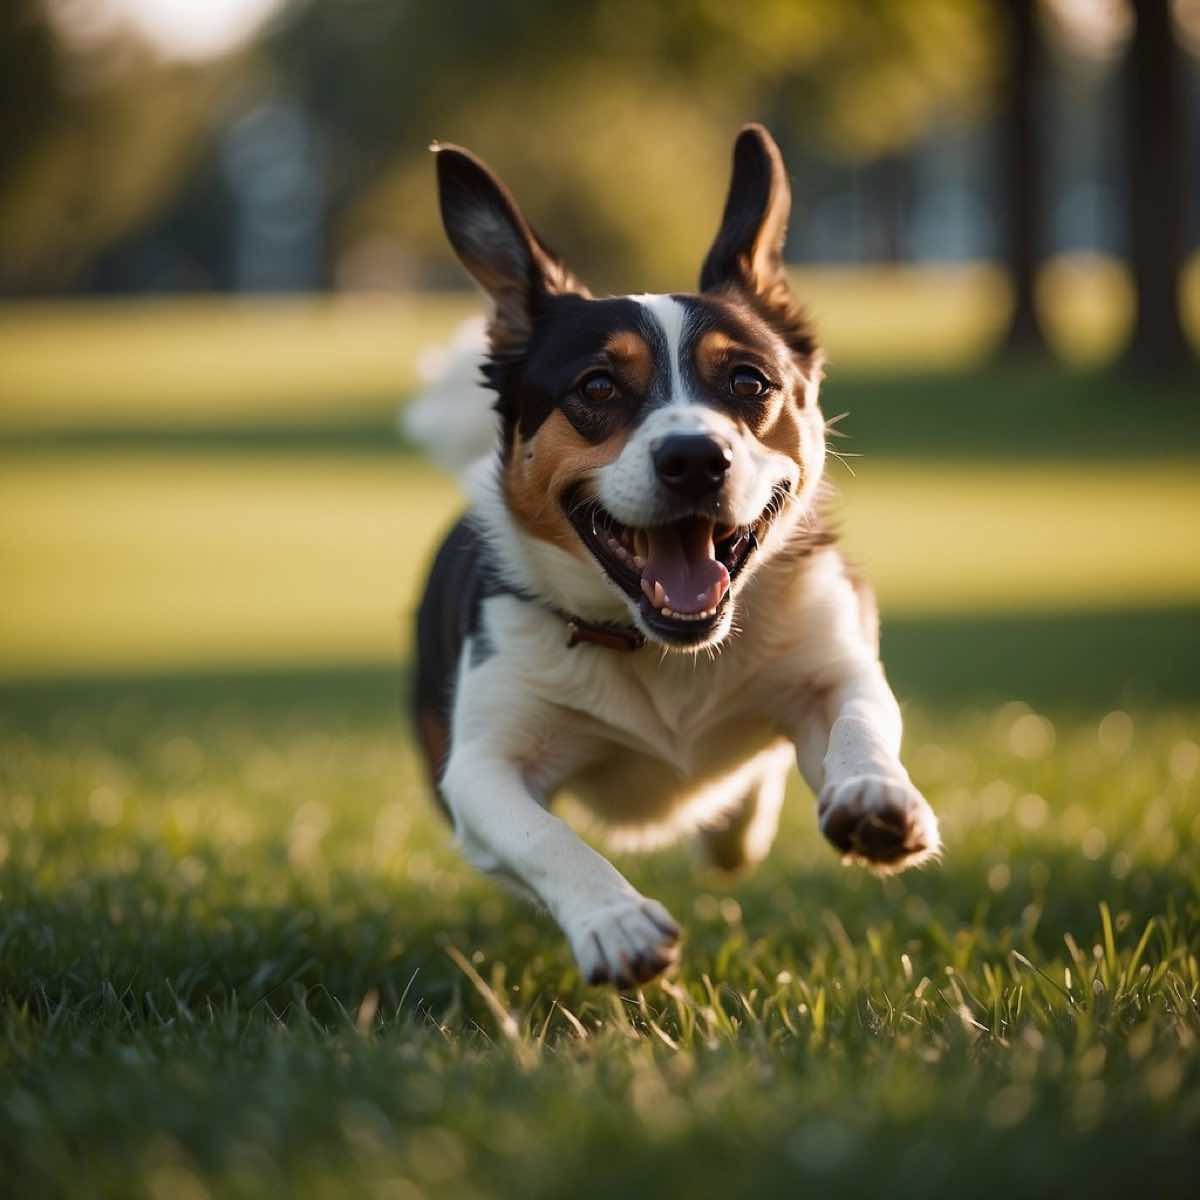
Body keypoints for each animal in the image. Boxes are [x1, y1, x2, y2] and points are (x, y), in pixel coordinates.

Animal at [408, 124, 940, 984]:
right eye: (596, 386)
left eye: (749, 381)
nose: (694, 457)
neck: (661, 649)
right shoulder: (479, 765)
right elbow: (541, 836)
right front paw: (614, 922)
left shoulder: (835, 654)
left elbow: (862, 716)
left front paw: (874, 799)